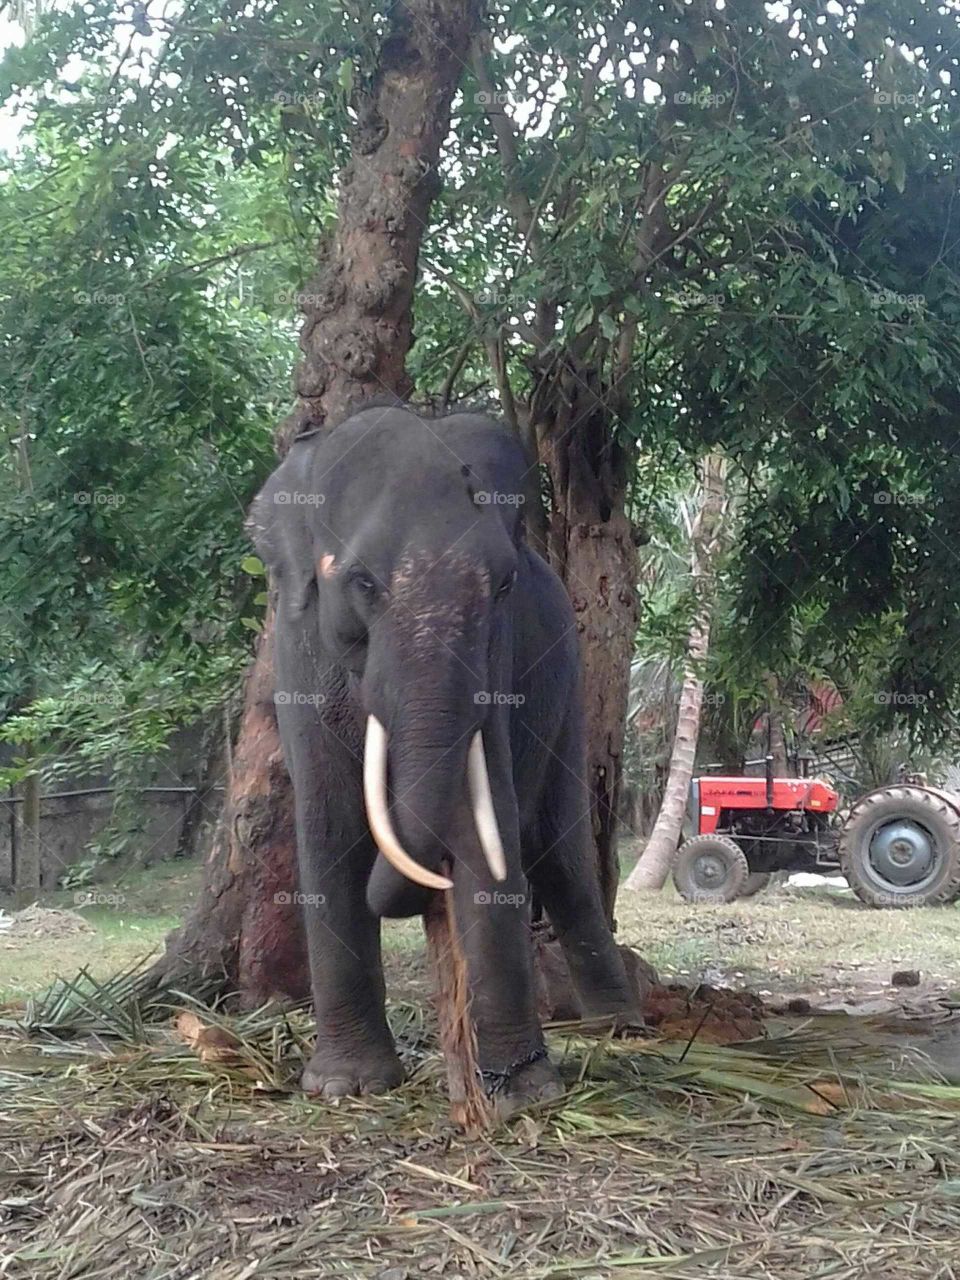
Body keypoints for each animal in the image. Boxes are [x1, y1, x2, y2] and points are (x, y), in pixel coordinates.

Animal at [250, 399, 638, 1116]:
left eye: (505, 584)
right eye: (361, 581)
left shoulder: (499, 662)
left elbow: (491, 827)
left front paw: (524, 1095)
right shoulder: (296, 650)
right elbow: (328, 827)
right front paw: (346, 1087)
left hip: (568, 688)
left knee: (562, 856)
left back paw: (618, 1027)